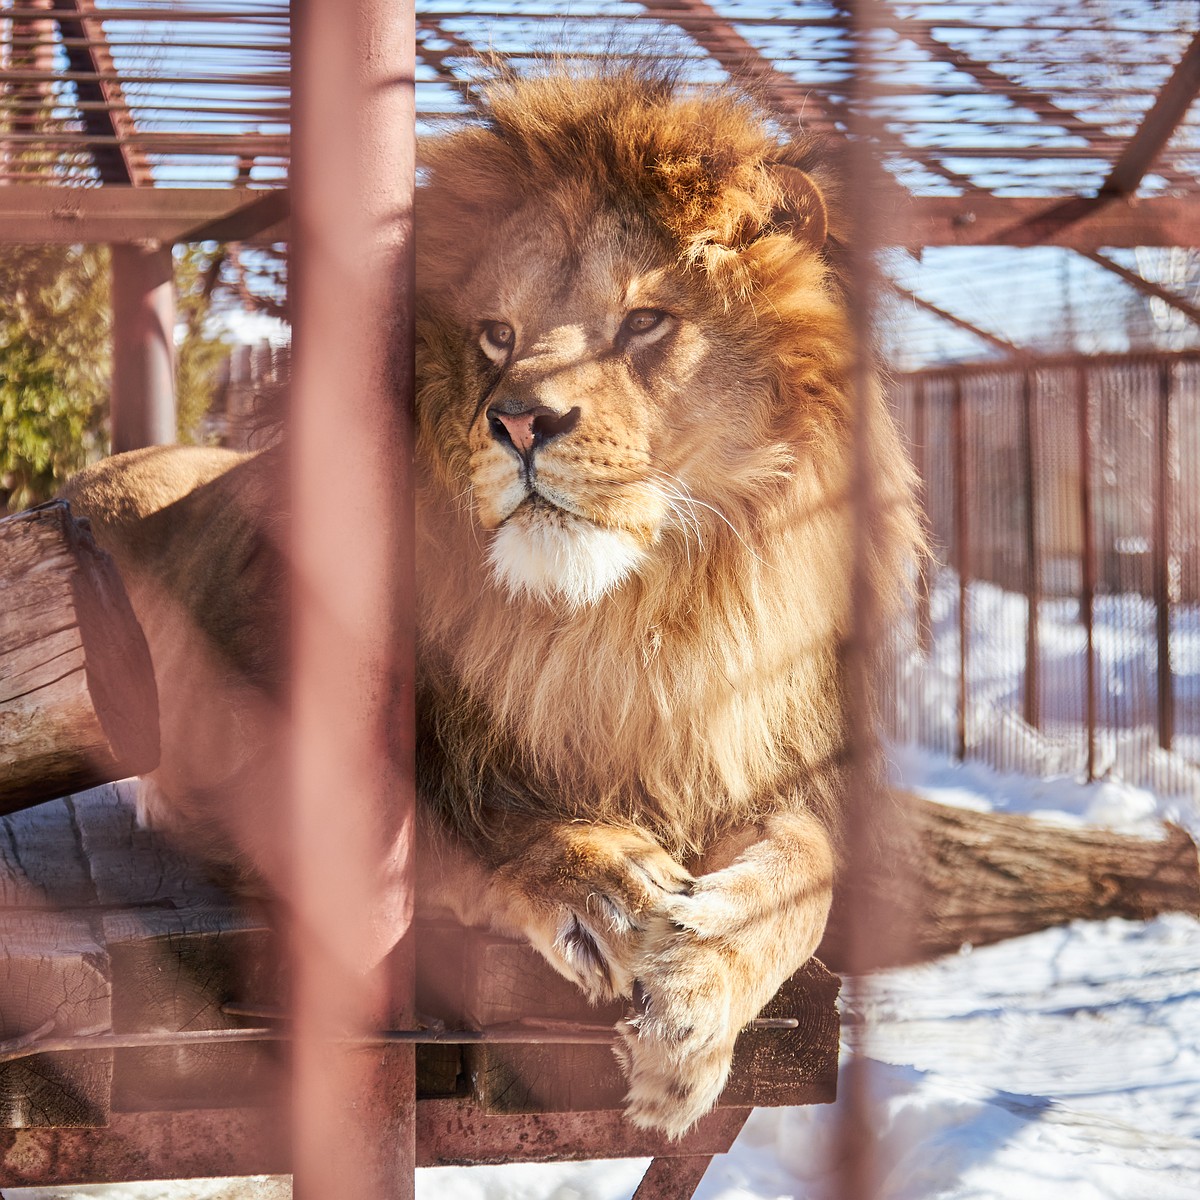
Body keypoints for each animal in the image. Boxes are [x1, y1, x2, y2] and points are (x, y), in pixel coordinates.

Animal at [65, 70, 921, 1137]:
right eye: (497, 336)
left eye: (646, 323)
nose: (518, 420)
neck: (626, 623)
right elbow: (457, 822)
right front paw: (597, 875)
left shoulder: (761, 760)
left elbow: (807, 875)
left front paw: (699, 994)